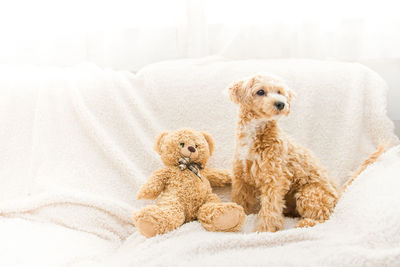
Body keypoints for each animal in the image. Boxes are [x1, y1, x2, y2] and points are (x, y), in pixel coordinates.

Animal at [228, 73, 384, 232]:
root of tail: (338, 194)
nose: (281, 104)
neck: (254, 133)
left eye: (280, 92)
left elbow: (270, 208)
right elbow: (241, 199)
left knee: (324, 217)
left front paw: (264, 230)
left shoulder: (275, 179)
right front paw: (239, 215)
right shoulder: (241, 176)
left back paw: (304, 223)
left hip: (308, 193)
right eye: (260, 92)